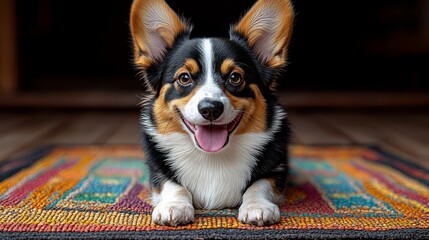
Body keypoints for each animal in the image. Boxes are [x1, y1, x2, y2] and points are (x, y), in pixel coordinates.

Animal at [129, 0, 292, 227]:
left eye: (235, 77)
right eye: (184, 78)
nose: (210, 109)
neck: (212, 158)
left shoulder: (276, 170)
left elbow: (259, 184)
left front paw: (257, 207)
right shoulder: (158, 172)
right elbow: (173, 185)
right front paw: (174, 207)